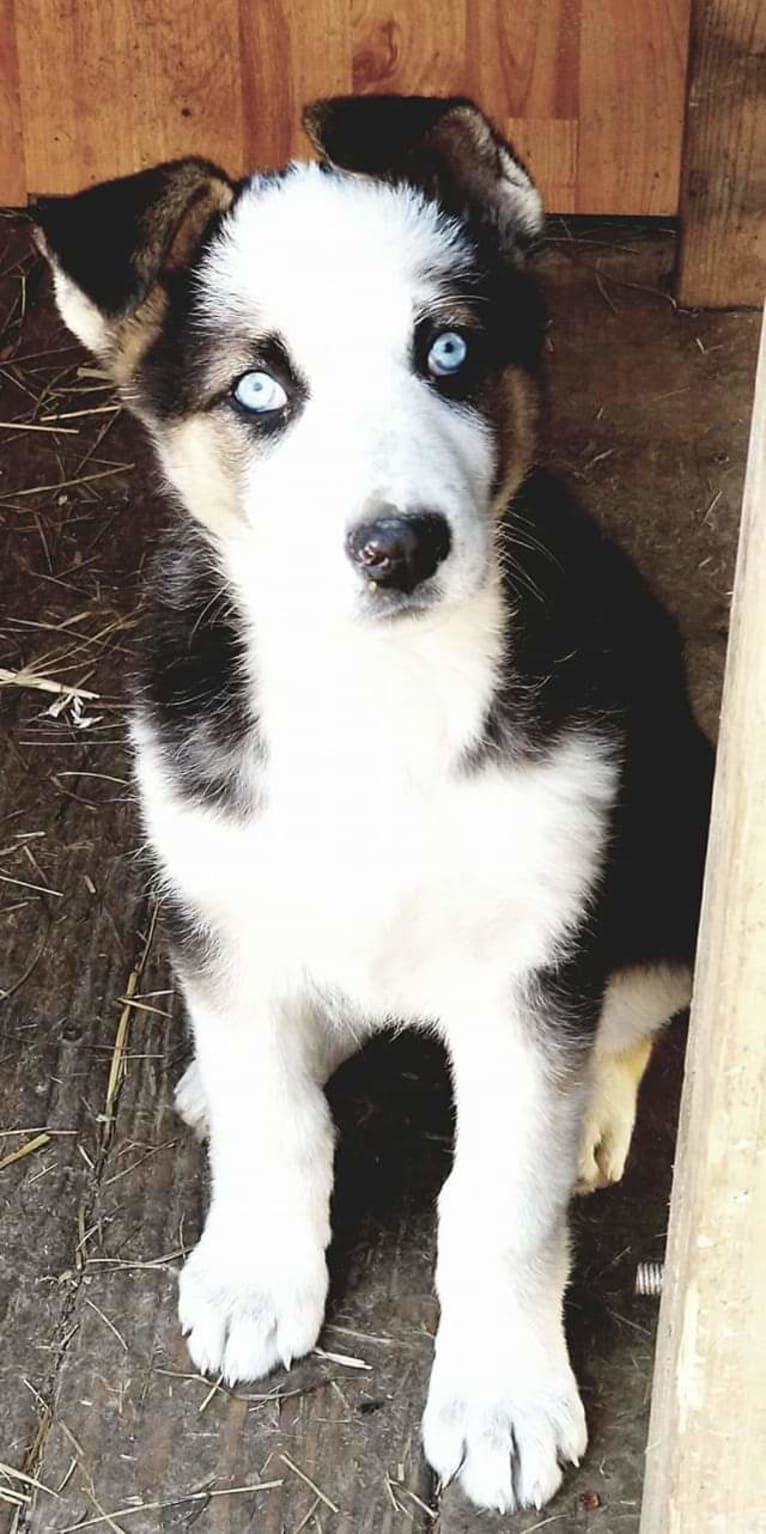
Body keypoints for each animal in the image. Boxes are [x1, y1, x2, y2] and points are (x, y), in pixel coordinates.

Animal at [36, 98, 715, 1521]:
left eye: (447, 349)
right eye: (259, 390)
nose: (400, 546)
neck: (374, 692)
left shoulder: (534, 958)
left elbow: (500, 1204)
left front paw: (503, 1395)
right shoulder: (212, 883)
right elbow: (275, 1118)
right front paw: (257, 1270)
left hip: (669, 844)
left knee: (635, 1008)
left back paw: (595, 1118)